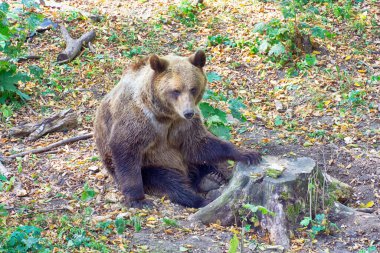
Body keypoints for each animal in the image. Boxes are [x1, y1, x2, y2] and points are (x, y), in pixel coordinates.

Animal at [94, 50, 262, 209]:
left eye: (193, 88)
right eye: (176, 90)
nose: (188, 112)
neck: (164, 115)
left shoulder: (183, 125)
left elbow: (199, 143)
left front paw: (248, 154)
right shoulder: (139, 120)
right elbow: (125, 149)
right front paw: (137, 199)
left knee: (208, 163)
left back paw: (212, 177)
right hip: (155, 166)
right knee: (169, 182)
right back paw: (199, 196)